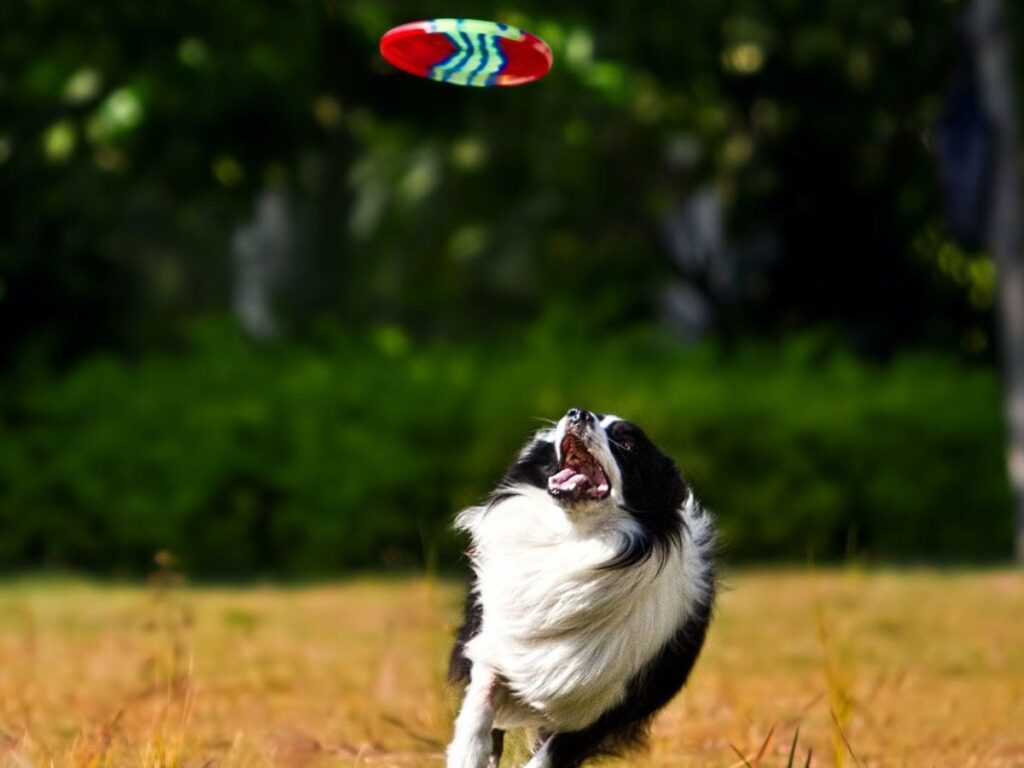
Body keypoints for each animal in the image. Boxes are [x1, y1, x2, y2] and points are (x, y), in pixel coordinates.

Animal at [448, 405, 720, 765]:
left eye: (626, 443)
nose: (579, 413)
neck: (576, 538)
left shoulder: (610, 705)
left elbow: (548, 756)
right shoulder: (497, 644)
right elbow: (480, 704)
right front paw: (467, 754)